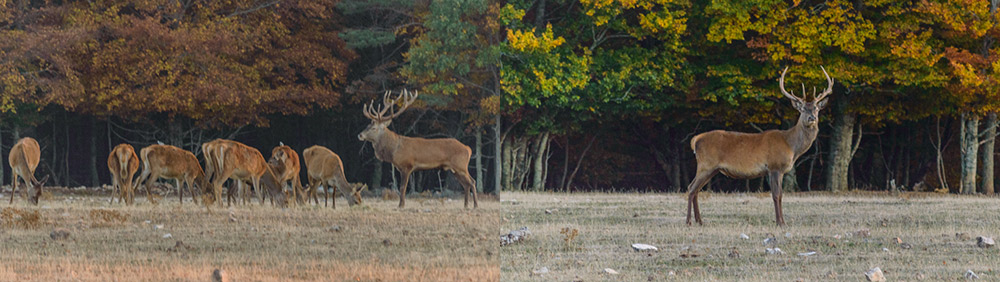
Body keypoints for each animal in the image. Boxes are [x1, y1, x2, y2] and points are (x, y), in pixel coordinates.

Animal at [684, 66, 832, 227]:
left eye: (816, 108)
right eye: (803, 109)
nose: (812, 118)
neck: (791, 146)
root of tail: (696, 139)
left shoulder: (779, 170)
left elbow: (781, 195)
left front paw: (782, 221)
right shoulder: (774, 166)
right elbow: (776, 195)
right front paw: (779, 222)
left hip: (712, 169)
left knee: (696, 189)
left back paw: (700, 221)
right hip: (706, 164)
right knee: (691, 188)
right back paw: (689, 221)